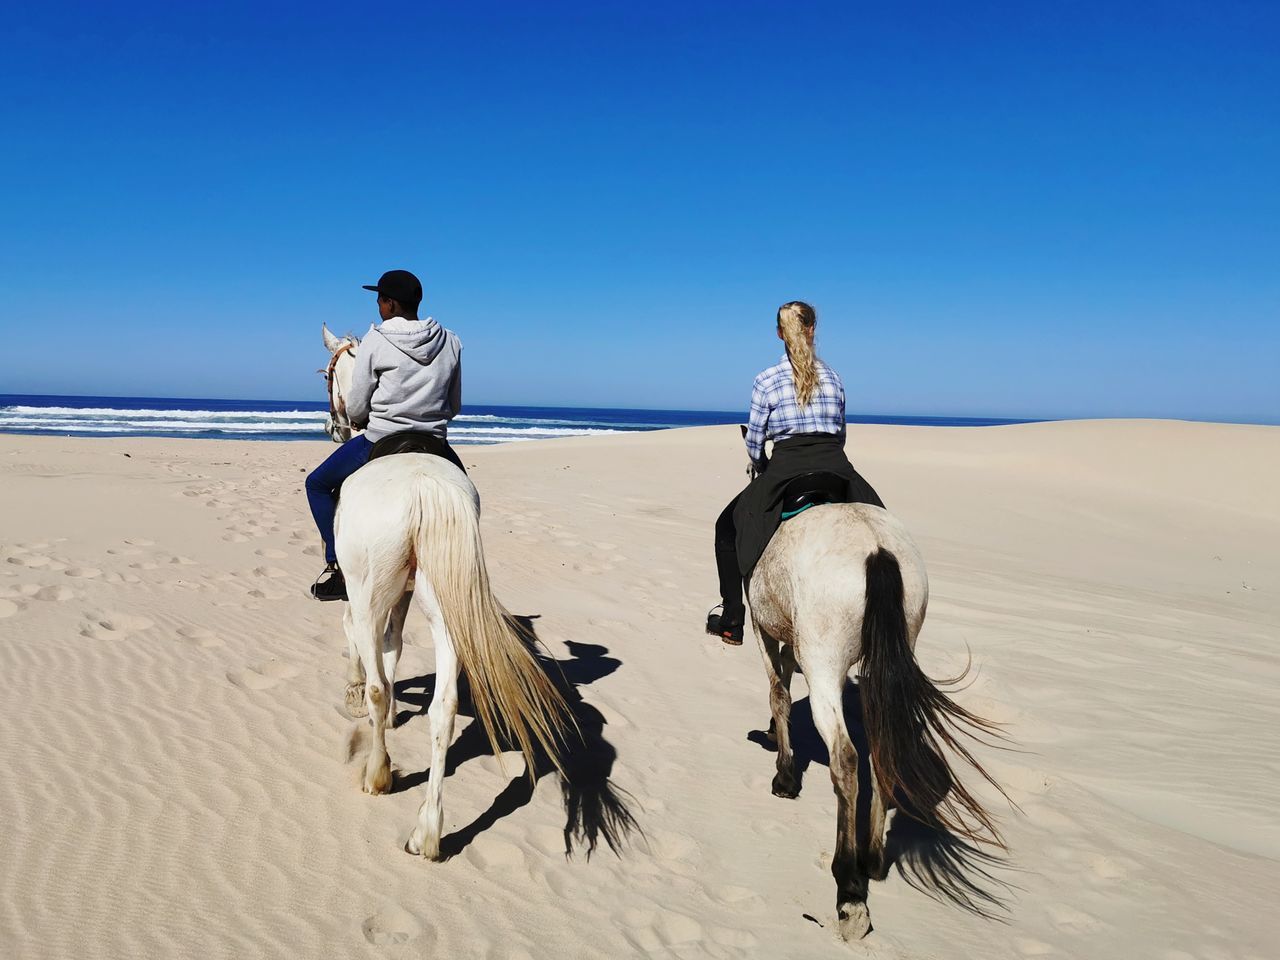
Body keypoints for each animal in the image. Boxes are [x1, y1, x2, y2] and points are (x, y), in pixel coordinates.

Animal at [317, 327, 573, 860]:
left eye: (330, 377)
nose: (336, 428)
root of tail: (423, 487)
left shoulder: (364, 594)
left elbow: (365, 652)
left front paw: (357, 693)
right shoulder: (405, 596)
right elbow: (393, 651)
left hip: (372, 592)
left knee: (377, 678)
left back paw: (378, 774)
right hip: (445, 606)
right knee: (445, 709)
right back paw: (428, 831)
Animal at [747, 504, 1003, 942]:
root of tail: (876, 550)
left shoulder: (761, 625)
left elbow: (778, 693)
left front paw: (784, 777)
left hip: (824, 660)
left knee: (846, 758)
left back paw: (849, 888)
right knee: (883, 749)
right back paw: (873, 858)